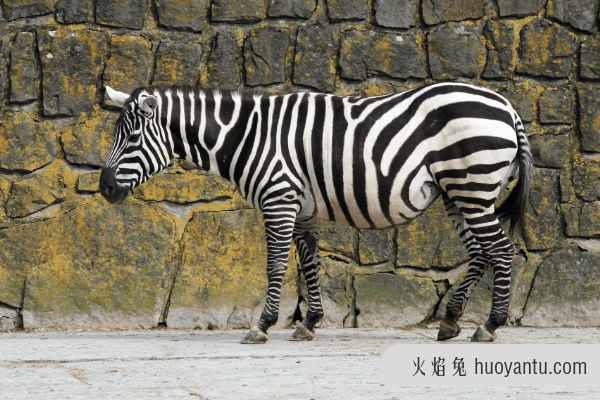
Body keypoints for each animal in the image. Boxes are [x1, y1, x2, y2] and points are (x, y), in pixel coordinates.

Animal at [99, 82, 536, 344]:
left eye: (132, 137)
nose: (104, 189)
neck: (247, 136)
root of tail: (507, 106)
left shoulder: (278, 199)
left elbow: (276, 265)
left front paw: (262, 326)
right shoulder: (301, 207)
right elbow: (309, 262)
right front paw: (309, 323)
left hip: (471, 187)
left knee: (502, 250)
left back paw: (489, 325)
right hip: (458, 194)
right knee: (481, 253)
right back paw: (451, 320)